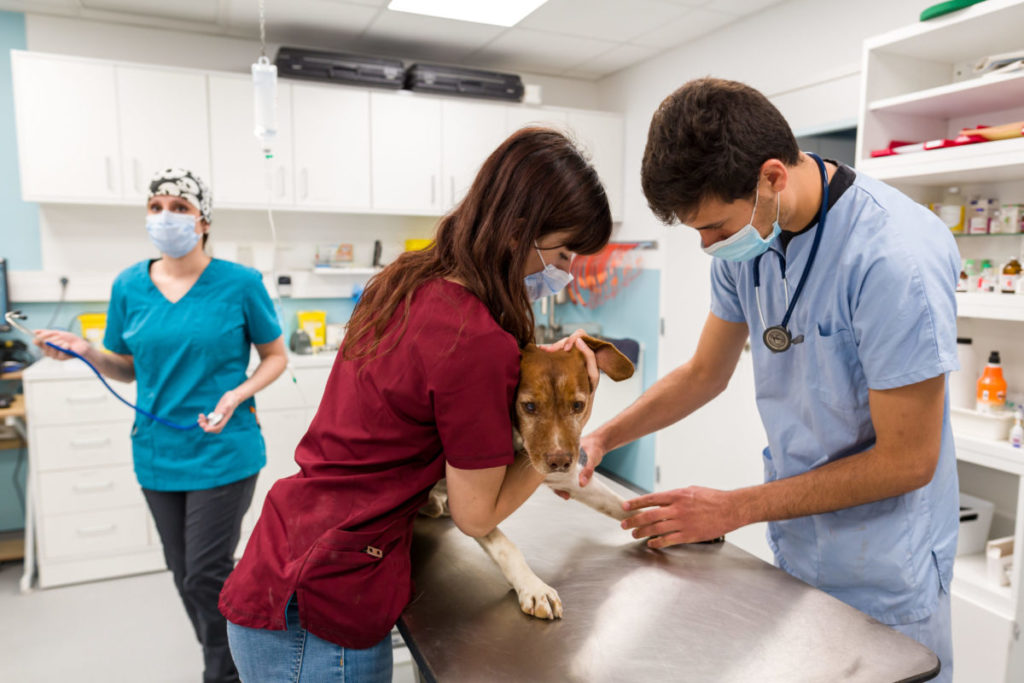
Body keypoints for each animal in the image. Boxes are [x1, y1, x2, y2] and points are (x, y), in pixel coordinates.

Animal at [421, 335, 630, 618]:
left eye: (578, 405)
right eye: (529, 406)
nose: (560, 461)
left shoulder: (558, 474)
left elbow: (617, 503)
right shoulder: (474, 508)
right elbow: (505, 546)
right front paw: (534, 587)